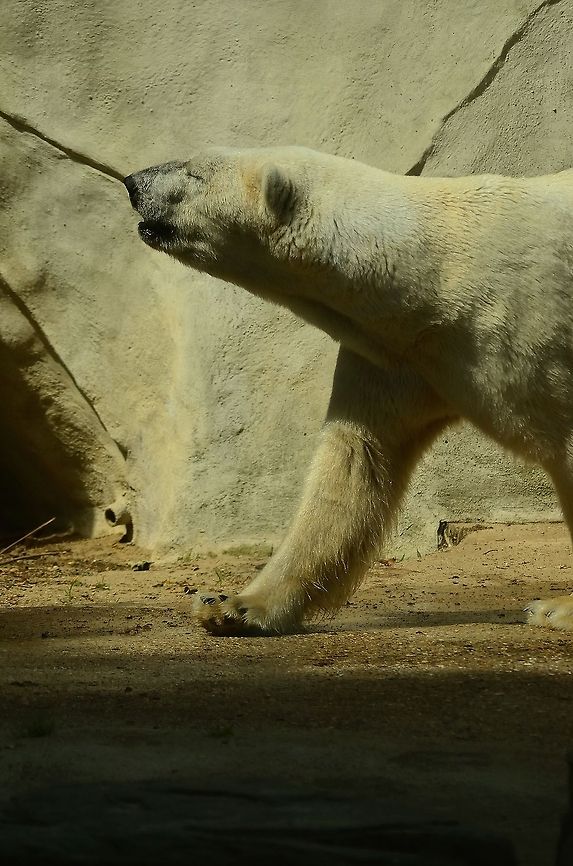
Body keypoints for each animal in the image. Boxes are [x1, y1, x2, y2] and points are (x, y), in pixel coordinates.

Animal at [124, 146, 573, 635]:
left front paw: (556, 608)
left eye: (196, 172)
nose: (133, 182)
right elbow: (353, 463)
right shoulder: (393, 357)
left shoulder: (526, 330)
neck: (432, 281)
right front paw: (232, 605)